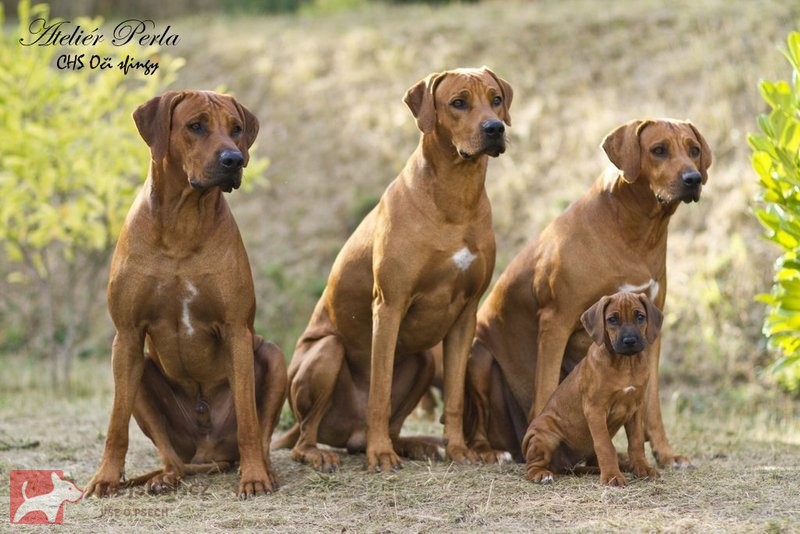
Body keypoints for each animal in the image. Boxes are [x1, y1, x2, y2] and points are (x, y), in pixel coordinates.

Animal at [86, 91, 286, 502]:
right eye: (196, 126)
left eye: (236, 129)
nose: (234, 160)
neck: (183, 222)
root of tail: (207, 450)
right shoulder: (127, 335)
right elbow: (115, 425)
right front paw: (106, 478)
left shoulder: (237, 331)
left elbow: (249, 418)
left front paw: (254, 479)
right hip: (141, 375)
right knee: (172, 458)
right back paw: (164, 478)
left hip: (274, 358)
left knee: (259, 434)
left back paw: (265, 470)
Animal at [274, 66, 512, 474]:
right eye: (459, 102)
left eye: (496, 99)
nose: (495, 128)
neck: (456, 197)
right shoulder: (389, 304)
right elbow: (380, 391)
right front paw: (381, 454)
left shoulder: (466, 314)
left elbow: (455, 394)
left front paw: (460, 450)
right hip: (327, 352)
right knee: (305, 436)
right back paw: (328, 451)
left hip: (421, 359)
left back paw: (415, 445)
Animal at [466, 117, 708, 464]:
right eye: (658, 150)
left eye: (694, 150)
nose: (694, 179)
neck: (635, 231)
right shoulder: (556, 321)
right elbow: (545, 390)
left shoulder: (651, 331)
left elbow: (652, 405)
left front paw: (665, 453)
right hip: (480, 357)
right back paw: (490, 451)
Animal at [524, 292, 664, 488]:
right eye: (612, 319)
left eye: (640, 317)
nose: (630, 341)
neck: (625, 364)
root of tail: (564, 466)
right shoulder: (595, 409)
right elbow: (605, 446)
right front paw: (612, 476)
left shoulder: (636, 409)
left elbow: (636, 443)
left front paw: (642, 469)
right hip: (546, 435)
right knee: (532, 466)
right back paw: (542, 474)